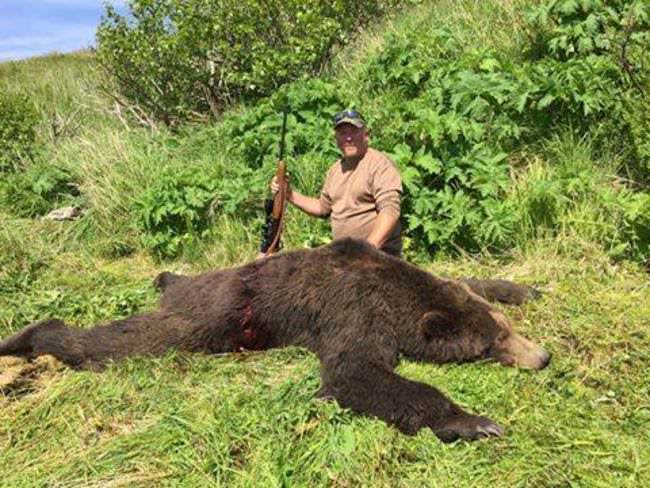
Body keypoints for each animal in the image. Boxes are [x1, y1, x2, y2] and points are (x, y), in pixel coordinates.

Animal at [0, 238, 549, 442]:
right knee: (129, 338)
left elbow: (472, 279)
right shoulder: (352, 313)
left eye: (505, 328)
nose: (541, 357)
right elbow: (353, 373)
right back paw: (27, 338)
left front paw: (525, 286)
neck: (390, 290)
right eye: (491, 344)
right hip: (208, 317)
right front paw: (474, 420)